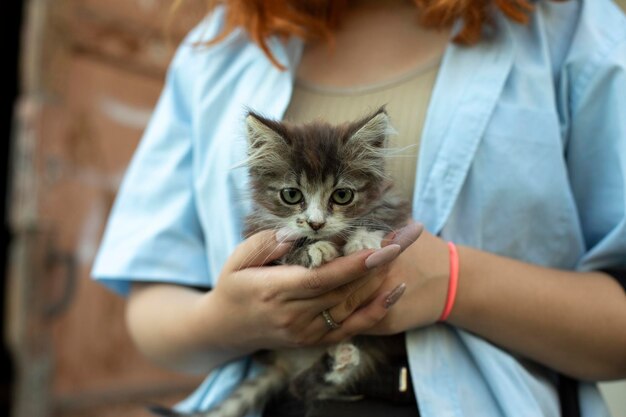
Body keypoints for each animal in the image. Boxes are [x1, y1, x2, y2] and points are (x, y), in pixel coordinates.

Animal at [150, 106, 410, 416]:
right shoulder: (258, 240)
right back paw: (338, 361)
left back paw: (339, 362)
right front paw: (315, 250)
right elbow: (285, 251)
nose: (316, 224)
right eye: (292, 195)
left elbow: (380, 216)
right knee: (299, 387)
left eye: (342, 195)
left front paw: (363, 239)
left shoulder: (390, 202)